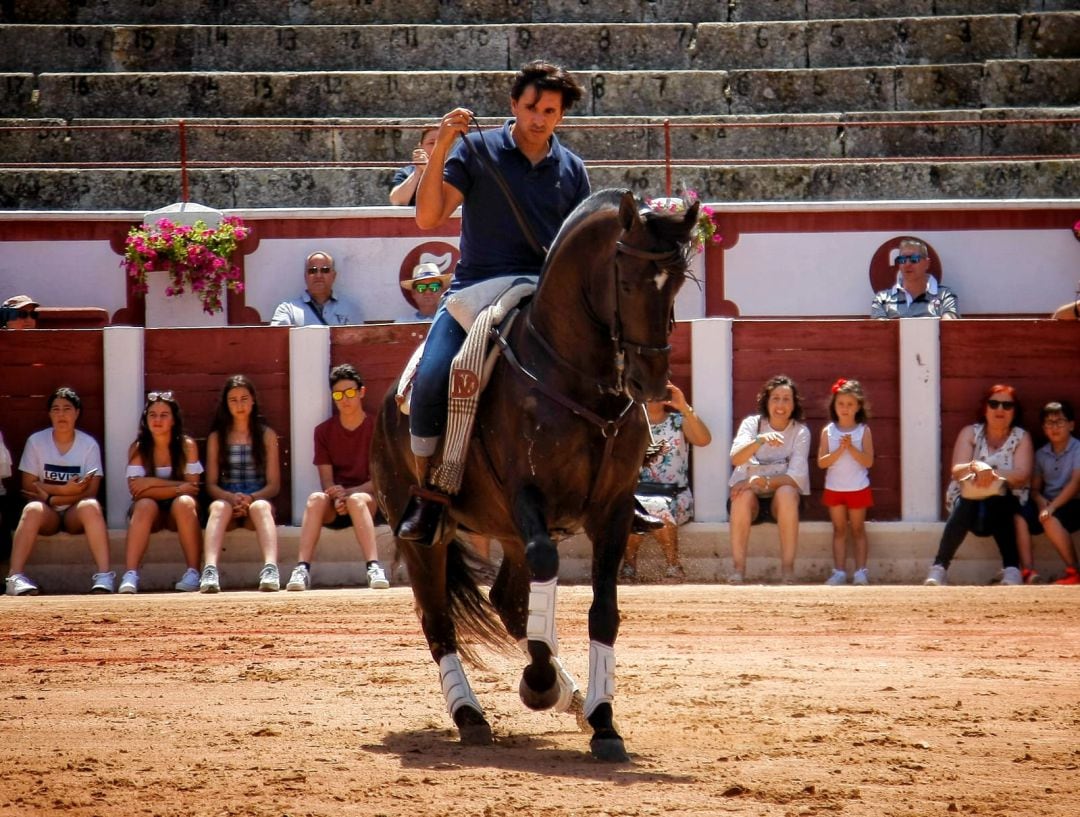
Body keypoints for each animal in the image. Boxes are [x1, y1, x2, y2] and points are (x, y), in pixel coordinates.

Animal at [367, 188, 695, 760]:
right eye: (627, 282)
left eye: (677, 283)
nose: (651, 382)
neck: (577, 379)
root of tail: (391, 400)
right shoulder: (526, 495)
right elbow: (547, 563)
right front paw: (539, 686)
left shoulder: (612, 510)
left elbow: (604, 611)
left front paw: (603, 720)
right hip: (424, 534)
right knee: (438, 620)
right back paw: (472, 714)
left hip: (506, 533)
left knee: (509, 600)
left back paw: (571, 695)